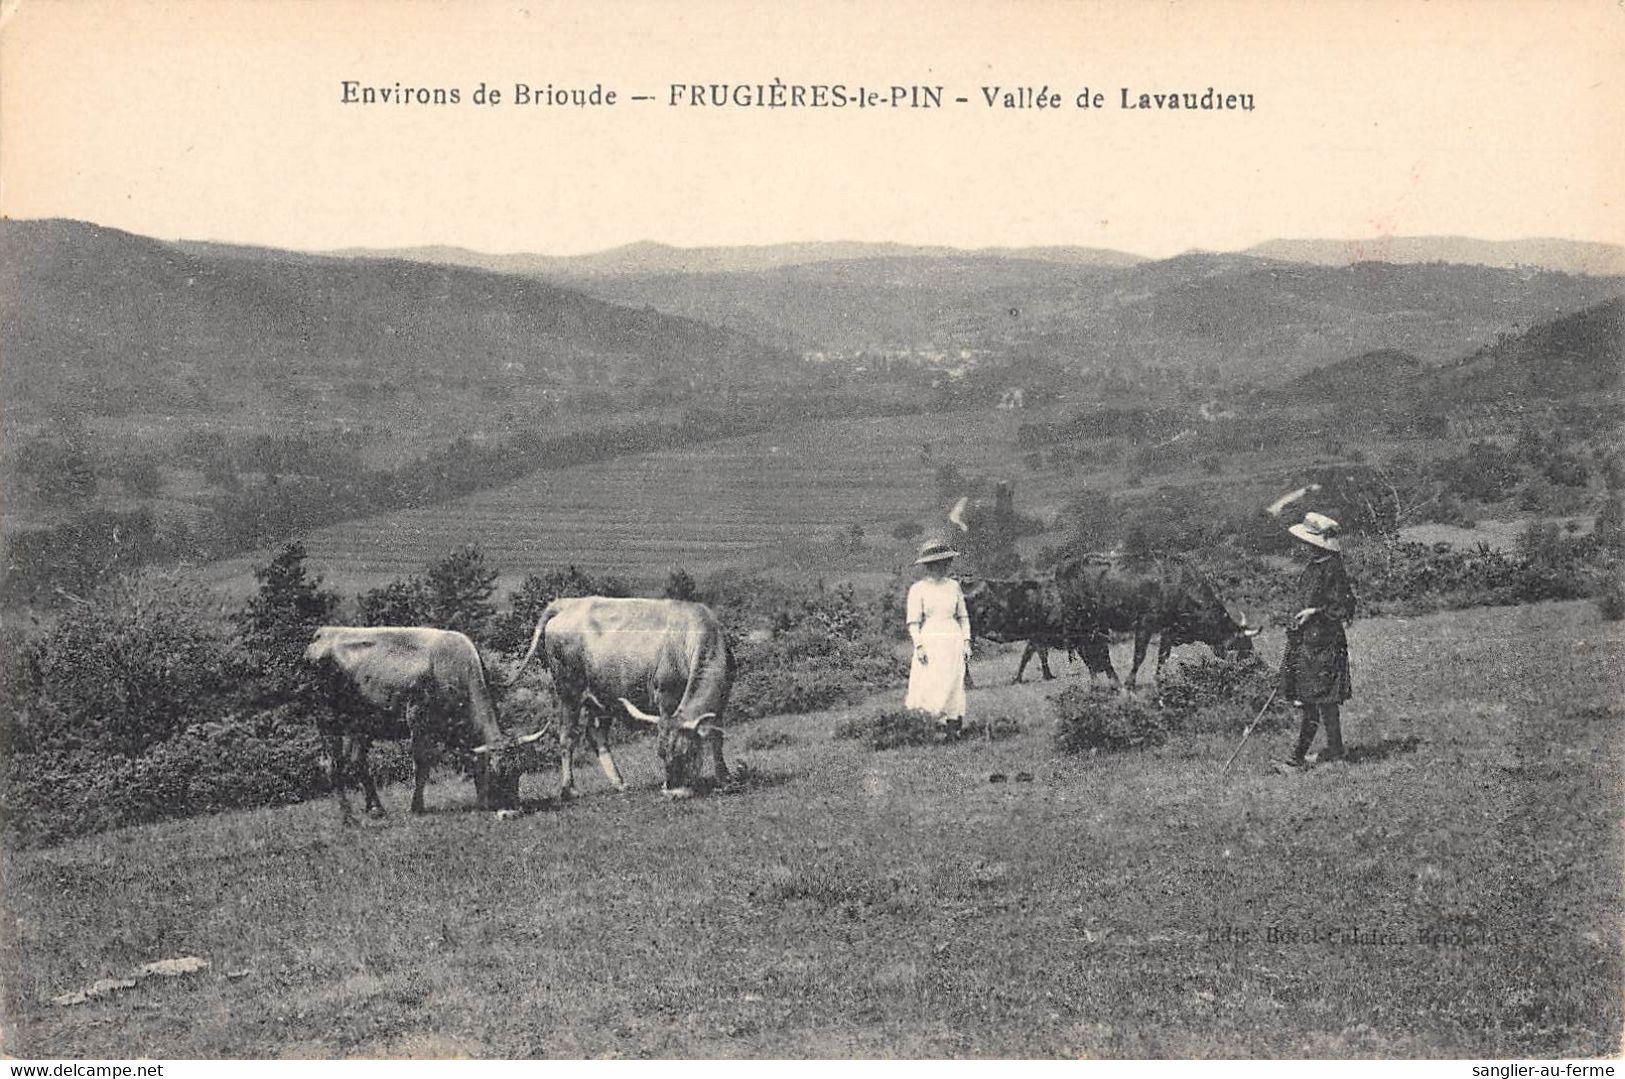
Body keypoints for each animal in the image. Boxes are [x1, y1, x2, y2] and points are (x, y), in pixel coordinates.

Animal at [302, 624, 529, 819]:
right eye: (497, 772)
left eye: (518, 771)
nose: (513, 811)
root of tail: (323, 633)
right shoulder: (418, 719)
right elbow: (422, 764)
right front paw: (416, 807)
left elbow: (473, 760)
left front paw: (481, 802)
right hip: (326, 718)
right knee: (332, 763)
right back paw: (350, 816)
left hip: (360, 724)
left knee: (357, 761)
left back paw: (375, 808)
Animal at [962, 578, 1118, 685]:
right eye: (1097, 641)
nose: (1103, 669)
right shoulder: (1039, 636)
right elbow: (1041, 656)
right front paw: (1047, 676)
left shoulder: (1035, 638)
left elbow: (1027, 656)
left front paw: (1018, 678)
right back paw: (969, 684)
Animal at [1046, 559, 1261, 685]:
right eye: (1242, 642)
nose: (1256, 664)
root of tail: (1064, 565)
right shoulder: (1145, 623)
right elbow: (1139, 656)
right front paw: (1130, 684)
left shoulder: (1168, 629)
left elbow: (1163, 656)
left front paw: (1159, 679)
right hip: (1080, 620)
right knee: (1086, 649)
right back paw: (1104, 682)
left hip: (1096, 624)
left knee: (1095, 650)